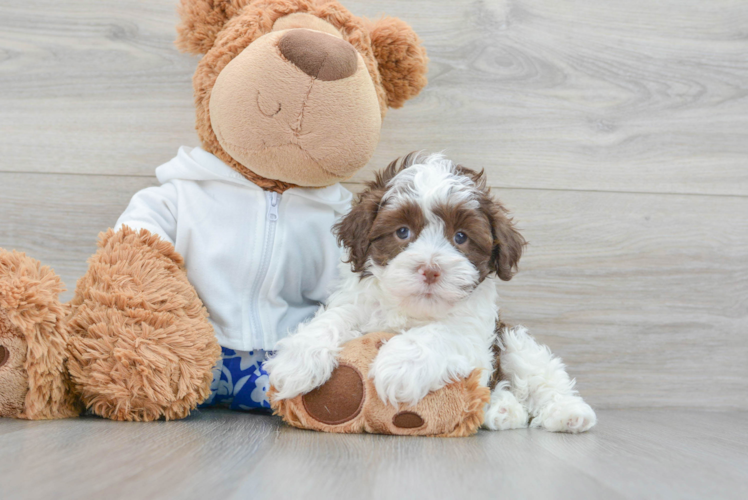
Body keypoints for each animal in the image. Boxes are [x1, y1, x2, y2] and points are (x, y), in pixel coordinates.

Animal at [266, 153, 600, 434]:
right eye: (402, 232)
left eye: (461, 237)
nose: (430, 270)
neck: (414, 309)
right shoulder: (358, 302)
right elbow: (336, 316)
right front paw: (297, 359)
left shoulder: (473, 332)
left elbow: (439, 333)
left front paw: (399, 365)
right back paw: (503, 410)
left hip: (513, 341)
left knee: (541, 374)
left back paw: (567, 413)